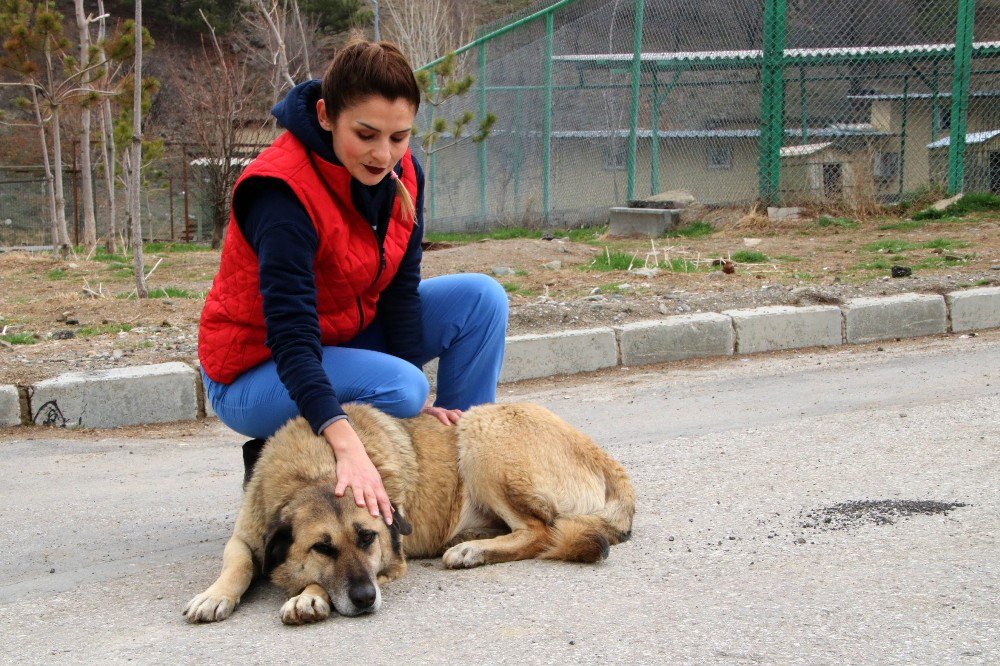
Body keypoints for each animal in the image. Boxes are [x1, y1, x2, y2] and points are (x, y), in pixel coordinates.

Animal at [182, 400, 632, 624]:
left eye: (368, 538)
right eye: (321, 548)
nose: (366, 599)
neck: (318, 469)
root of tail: (603, 457)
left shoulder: (387, 563)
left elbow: (317, 582)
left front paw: (307, 596)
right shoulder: (245, 537)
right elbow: (238, 564)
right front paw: (214, 595)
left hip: (480, 429)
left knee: (540, 529)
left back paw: (471, 551)